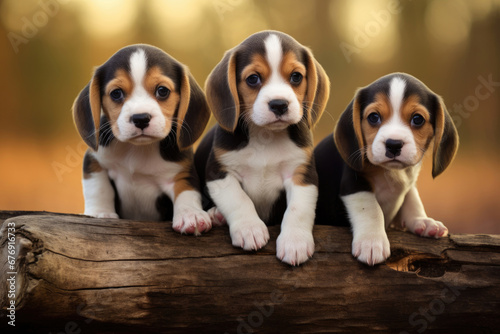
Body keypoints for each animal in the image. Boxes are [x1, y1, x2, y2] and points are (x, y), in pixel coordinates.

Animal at [73, 43, 211, 235]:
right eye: (116, 93)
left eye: (162, 91)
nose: (140, 118)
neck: (137, 148)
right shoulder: (94, 159)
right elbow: (98, 187)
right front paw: (100, 212)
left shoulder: (180, 172)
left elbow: (186, 191)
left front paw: (191, 215)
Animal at [193, 31, 330, 266]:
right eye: (253, 79)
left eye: (296, 77)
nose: (279, 104)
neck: (266, 135)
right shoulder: (219, 173)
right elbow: (239, 199)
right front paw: (250, 229)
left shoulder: (302, 174)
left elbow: (298, 210)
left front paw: (295, 242)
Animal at [314, 73, 458, 266]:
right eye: (373, 117)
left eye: (417, 119)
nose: (394, 144)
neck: (392, 172)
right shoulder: (354, 182)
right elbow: (371, 208)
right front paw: (371, 241)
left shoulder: (408, 183)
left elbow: (412, 198)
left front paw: (422, 221)